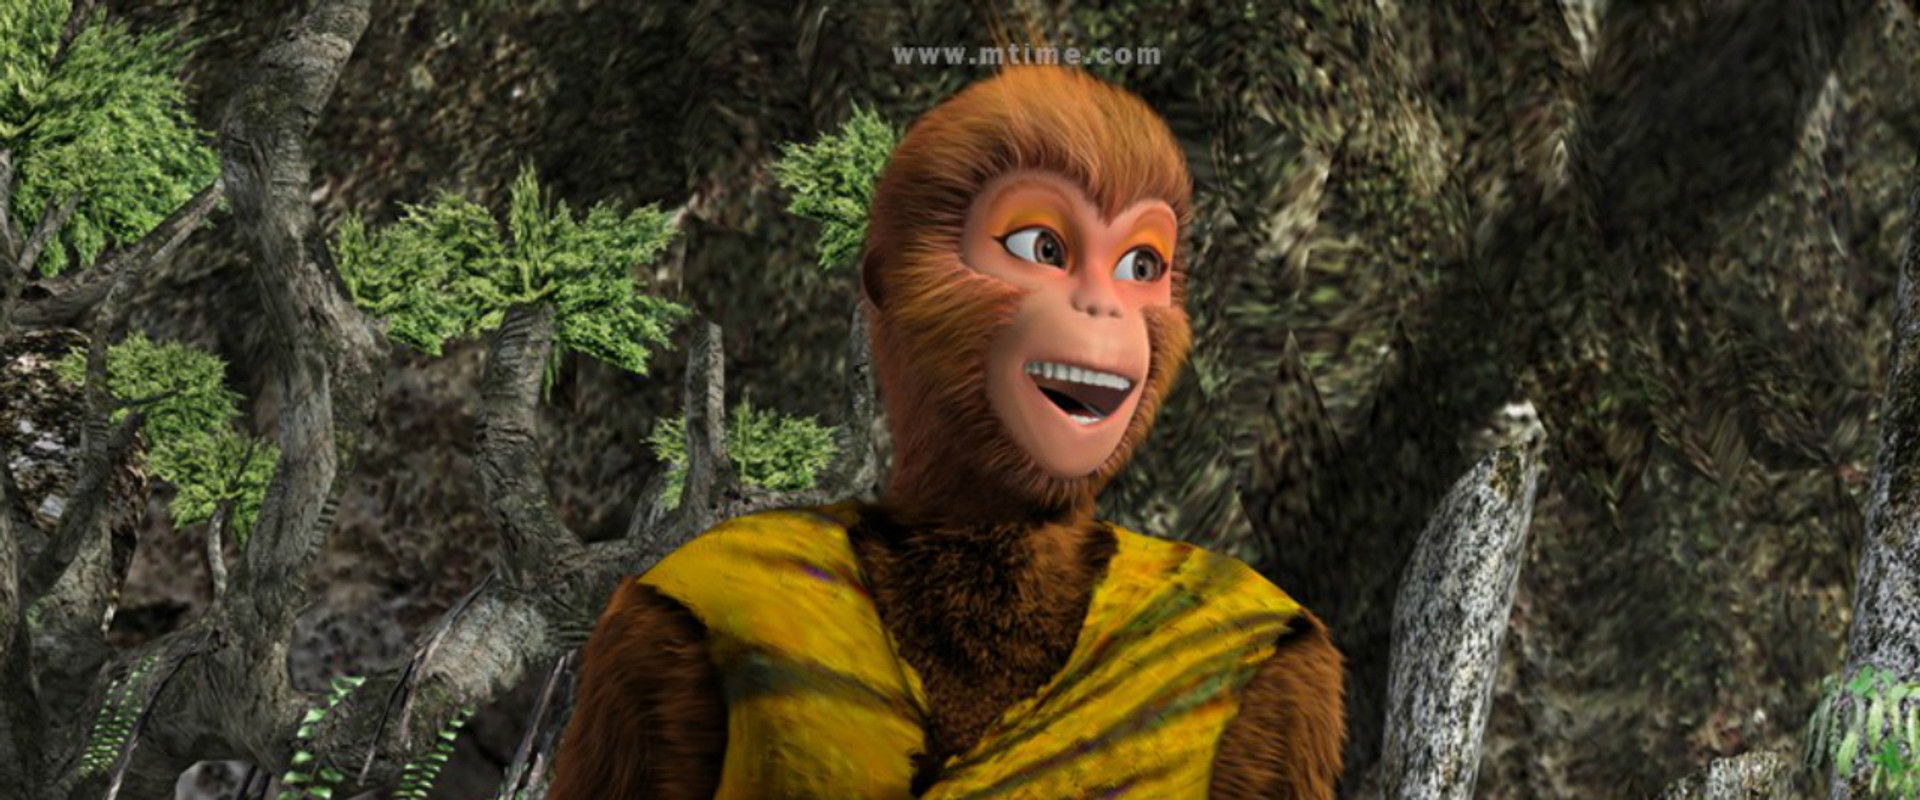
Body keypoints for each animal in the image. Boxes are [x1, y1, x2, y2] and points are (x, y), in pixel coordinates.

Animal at [549, 64, 1345, 799]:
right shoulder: (654, 631)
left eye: (1141, 265)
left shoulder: (1282, 681)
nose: (1106, 309)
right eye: (1041, 248)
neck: (994, 530)